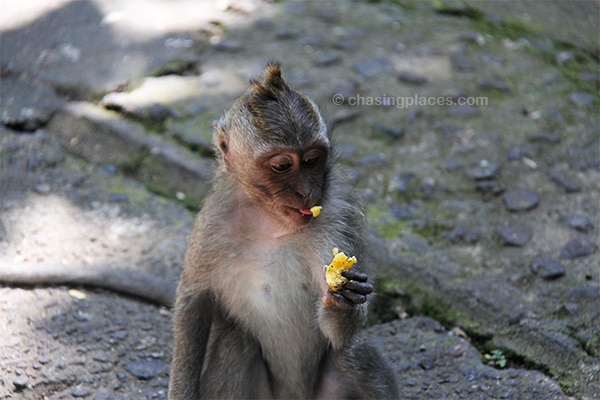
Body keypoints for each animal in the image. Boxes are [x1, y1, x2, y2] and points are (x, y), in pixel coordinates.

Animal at [169, 62, 398, 400]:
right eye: (281, 166)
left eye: (312, 160)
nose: (306, 192)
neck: (273, 222)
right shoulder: (213, 224)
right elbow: (193, 300)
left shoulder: (340, 215)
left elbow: (342, 330)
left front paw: (343, 296)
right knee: (238, 343)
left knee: (352, 352)